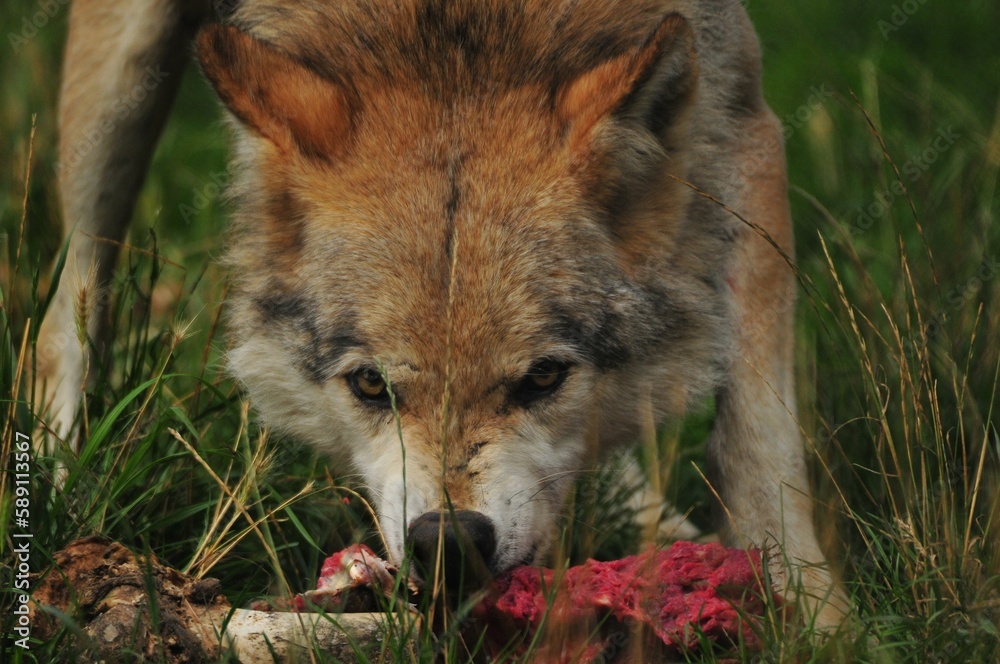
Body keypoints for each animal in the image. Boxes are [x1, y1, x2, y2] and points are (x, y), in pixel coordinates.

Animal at [37, 0, 846, 626]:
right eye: (370, 385)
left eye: (544, 378)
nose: (449, 542)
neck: (460, 29)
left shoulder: (744, 122)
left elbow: (759, 435)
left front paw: (815, 616)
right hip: (120, 82)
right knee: (64, 307)